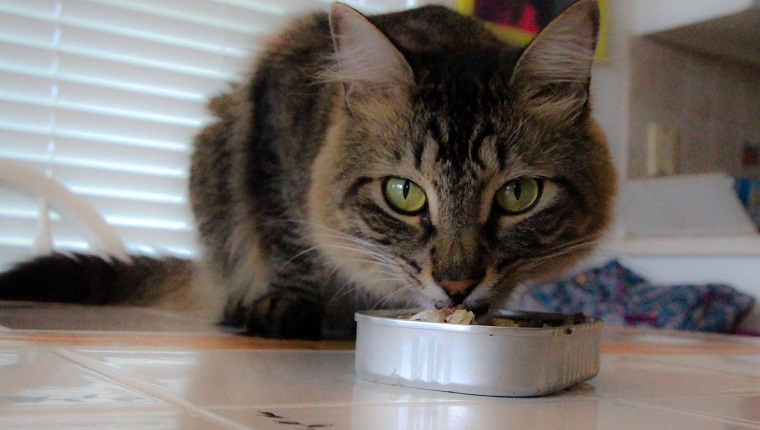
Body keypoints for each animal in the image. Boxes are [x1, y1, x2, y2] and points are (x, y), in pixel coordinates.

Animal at [0, 0, 616, 340]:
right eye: (404, 194)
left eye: (519, 195)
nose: (457, 286)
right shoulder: (275, 124)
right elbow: (289, 238)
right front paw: (286, 308)